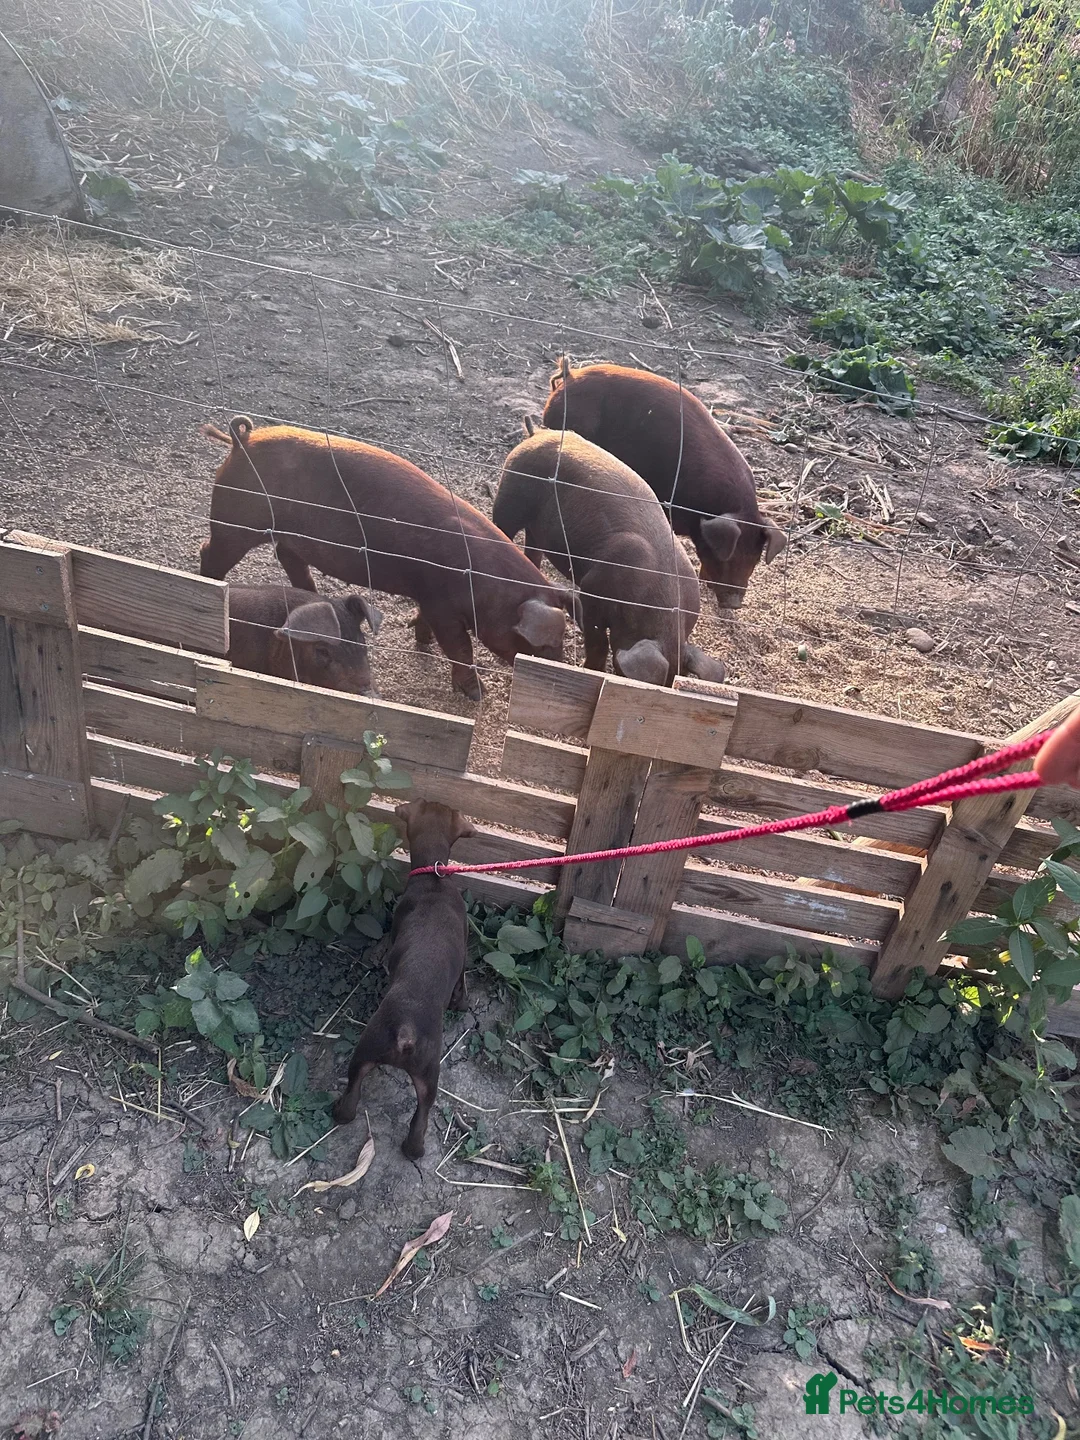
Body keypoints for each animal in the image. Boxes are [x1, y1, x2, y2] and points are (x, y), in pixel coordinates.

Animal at [332, 800, 476, 1159]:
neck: (433, 877)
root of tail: (406, 1031)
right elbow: (462, 985)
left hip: (365, 1053)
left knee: (352, 1097)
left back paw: (340, 1111)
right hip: (428, 1077)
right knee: (421, 1116)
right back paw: (415, 1150)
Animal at [493, 427, 727, 687]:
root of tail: (538, 433)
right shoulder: (591, 589)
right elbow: (598, 640)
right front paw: (591, 669)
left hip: (537, 529)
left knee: (532, 551)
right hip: (509, 498)